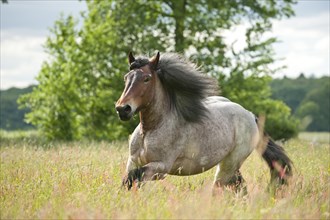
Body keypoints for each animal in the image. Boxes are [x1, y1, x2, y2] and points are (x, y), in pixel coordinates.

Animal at [115, 51, 292, 191]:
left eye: (147, 78)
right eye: (126, 78)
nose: (123, 109)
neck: (151, 129)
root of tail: (250, 115)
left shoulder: (161, 167)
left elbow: (132, 177)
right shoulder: (133, 161)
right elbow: (129, 180)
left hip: (230, 164)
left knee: (222, 187)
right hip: (228, 164)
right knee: (239, 186)